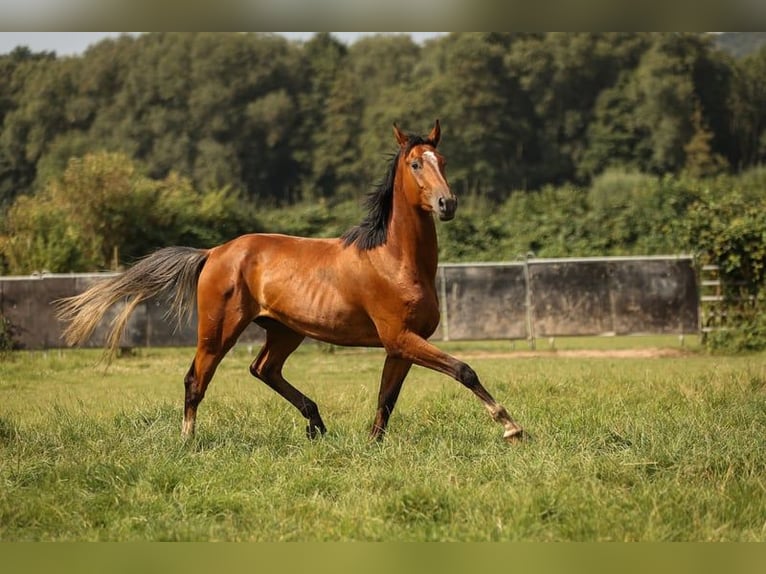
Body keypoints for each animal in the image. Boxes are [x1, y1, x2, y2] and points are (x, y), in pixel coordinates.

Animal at [57, 120, 528, 446]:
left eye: (442, 163)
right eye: (415, 164)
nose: (448, 203)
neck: (395, 260)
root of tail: (213, 252)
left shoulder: (400, 345)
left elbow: (386, 400)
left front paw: (372, 445)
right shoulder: (401, 337)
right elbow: (463, 370)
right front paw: (511, 427)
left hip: (284, 331)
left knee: (262, 368)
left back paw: (316, 422)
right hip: (219, 329)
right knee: (196, 379)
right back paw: (188, 441)